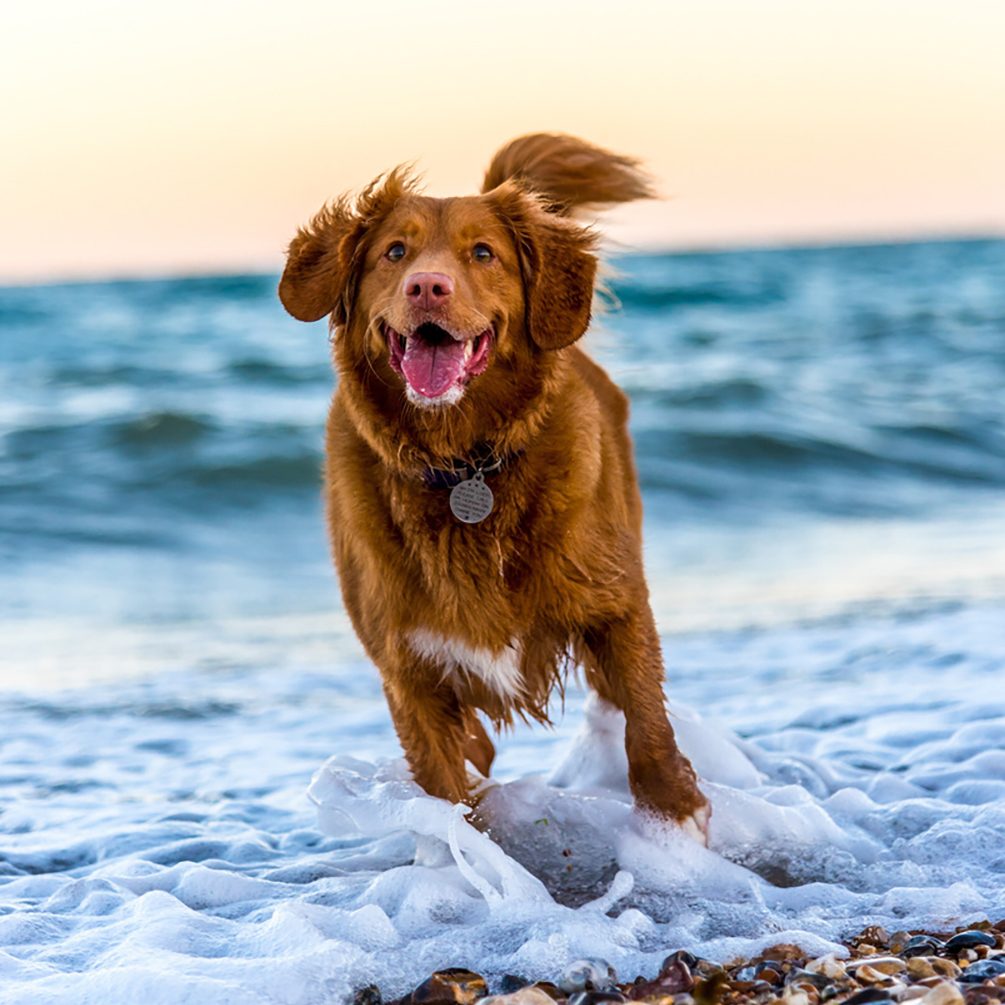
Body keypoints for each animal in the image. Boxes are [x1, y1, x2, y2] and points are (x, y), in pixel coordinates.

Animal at [279, 133, 711, 840]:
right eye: (394, 252)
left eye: (483, 253)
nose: (428, 286)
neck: (464, 464)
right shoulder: (407, 667)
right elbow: (446, 787)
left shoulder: (616, 602)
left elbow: (646, 719)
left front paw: (674, 814)